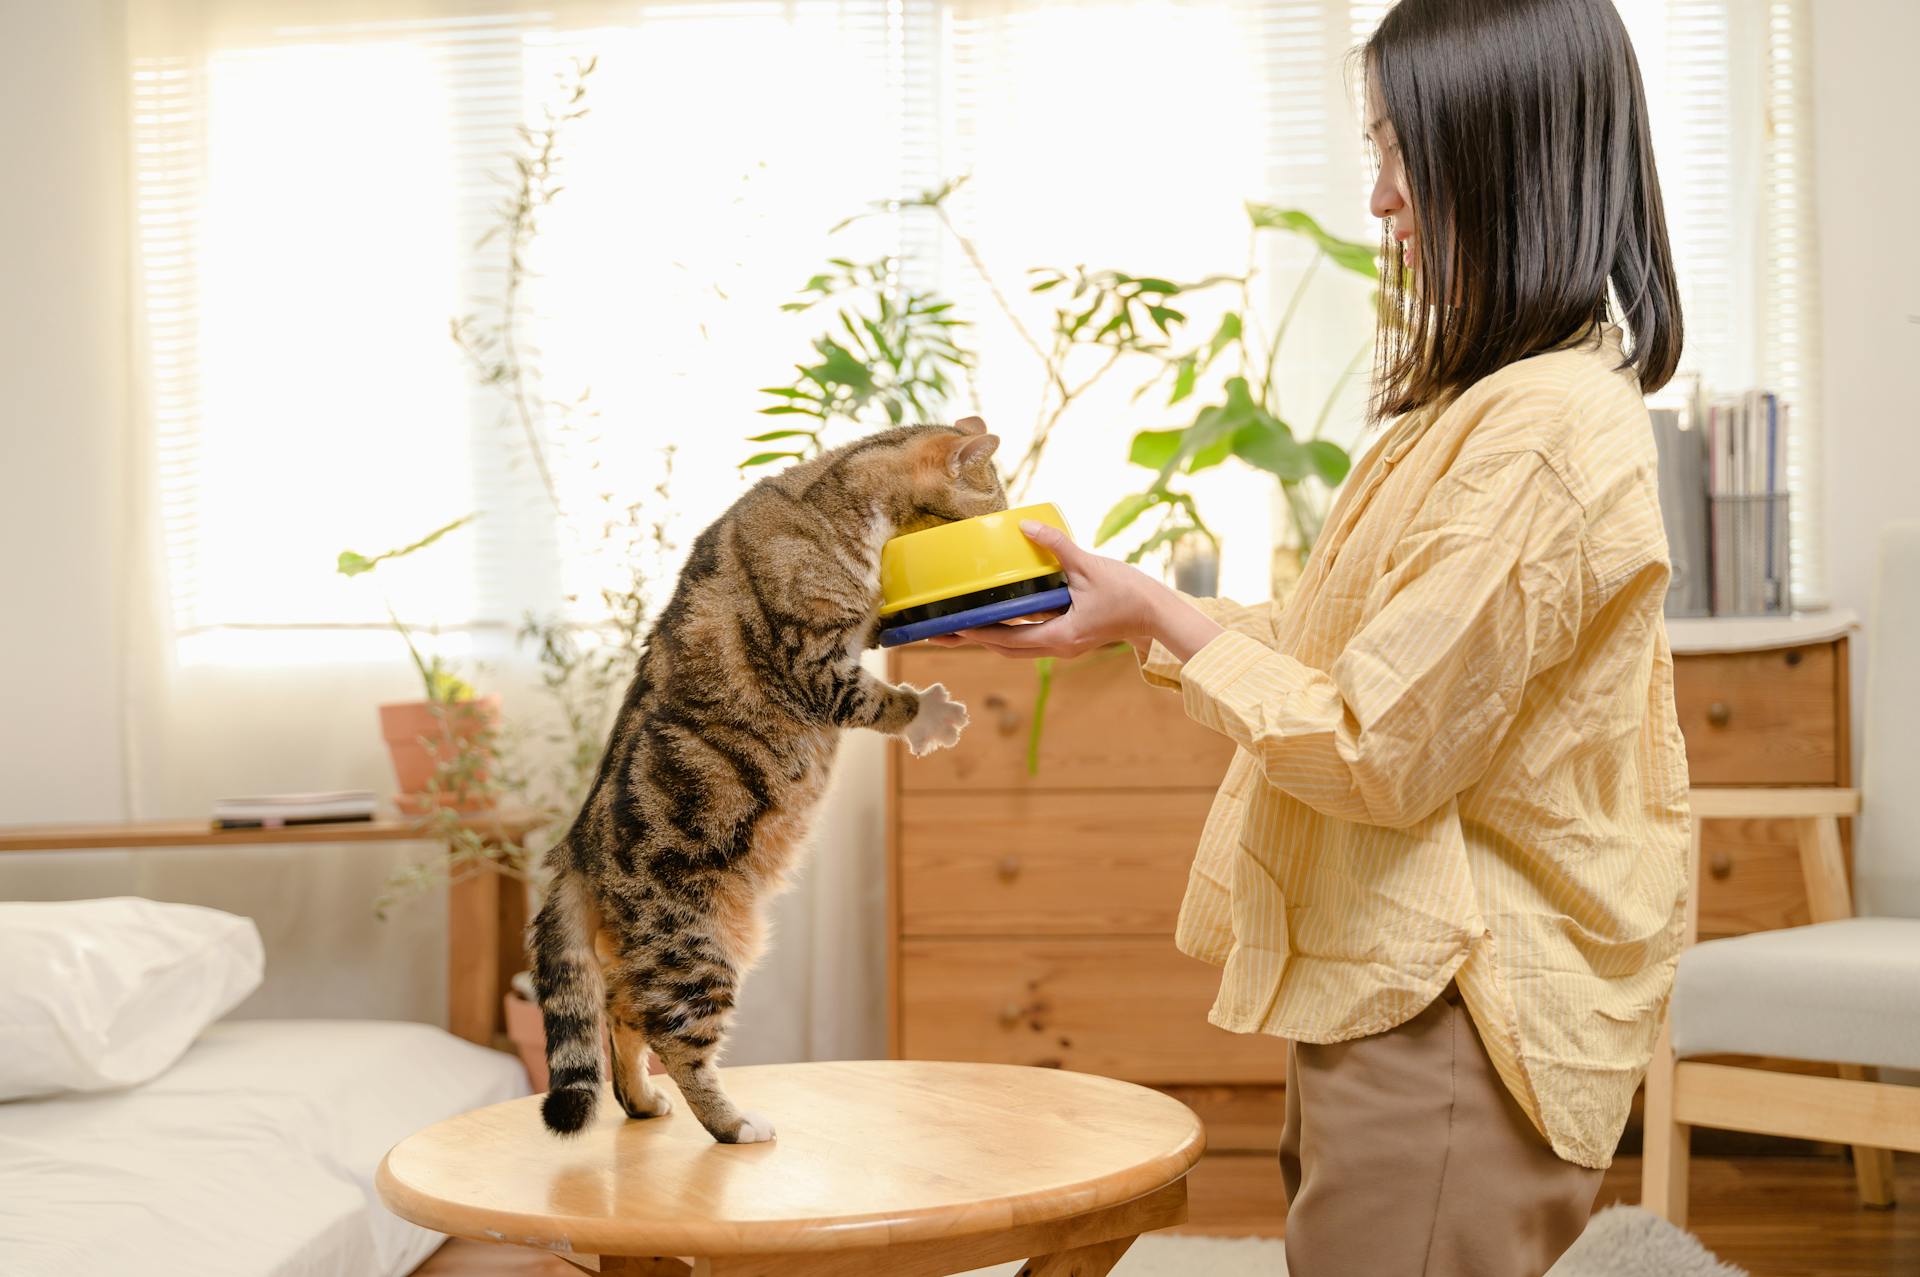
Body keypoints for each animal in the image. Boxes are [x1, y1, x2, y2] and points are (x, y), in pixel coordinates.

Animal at [526, 420, 1006, 1144]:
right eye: (995, 501)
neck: (829, 501)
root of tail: (575, 848)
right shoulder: (816, 665)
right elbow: (882, 700)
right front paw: (929, 713)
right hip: (697, 949)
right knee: (675, 1040)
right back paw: (735, 1123)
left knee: (621, 1012)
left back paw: (642, 1101)